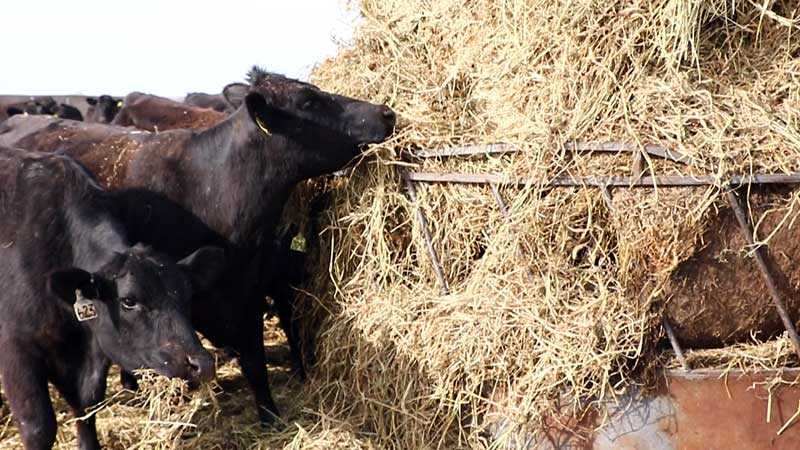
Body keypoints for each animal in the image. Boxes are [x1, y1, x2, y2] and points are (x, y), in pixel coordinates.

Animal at [0, 146, 225, 448]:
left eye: (188, 295)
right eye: (128, 300)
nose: (201, 364)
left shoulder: (92, 350)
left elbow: (87, 407)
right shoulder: (16, 349)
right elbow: (38, 427)